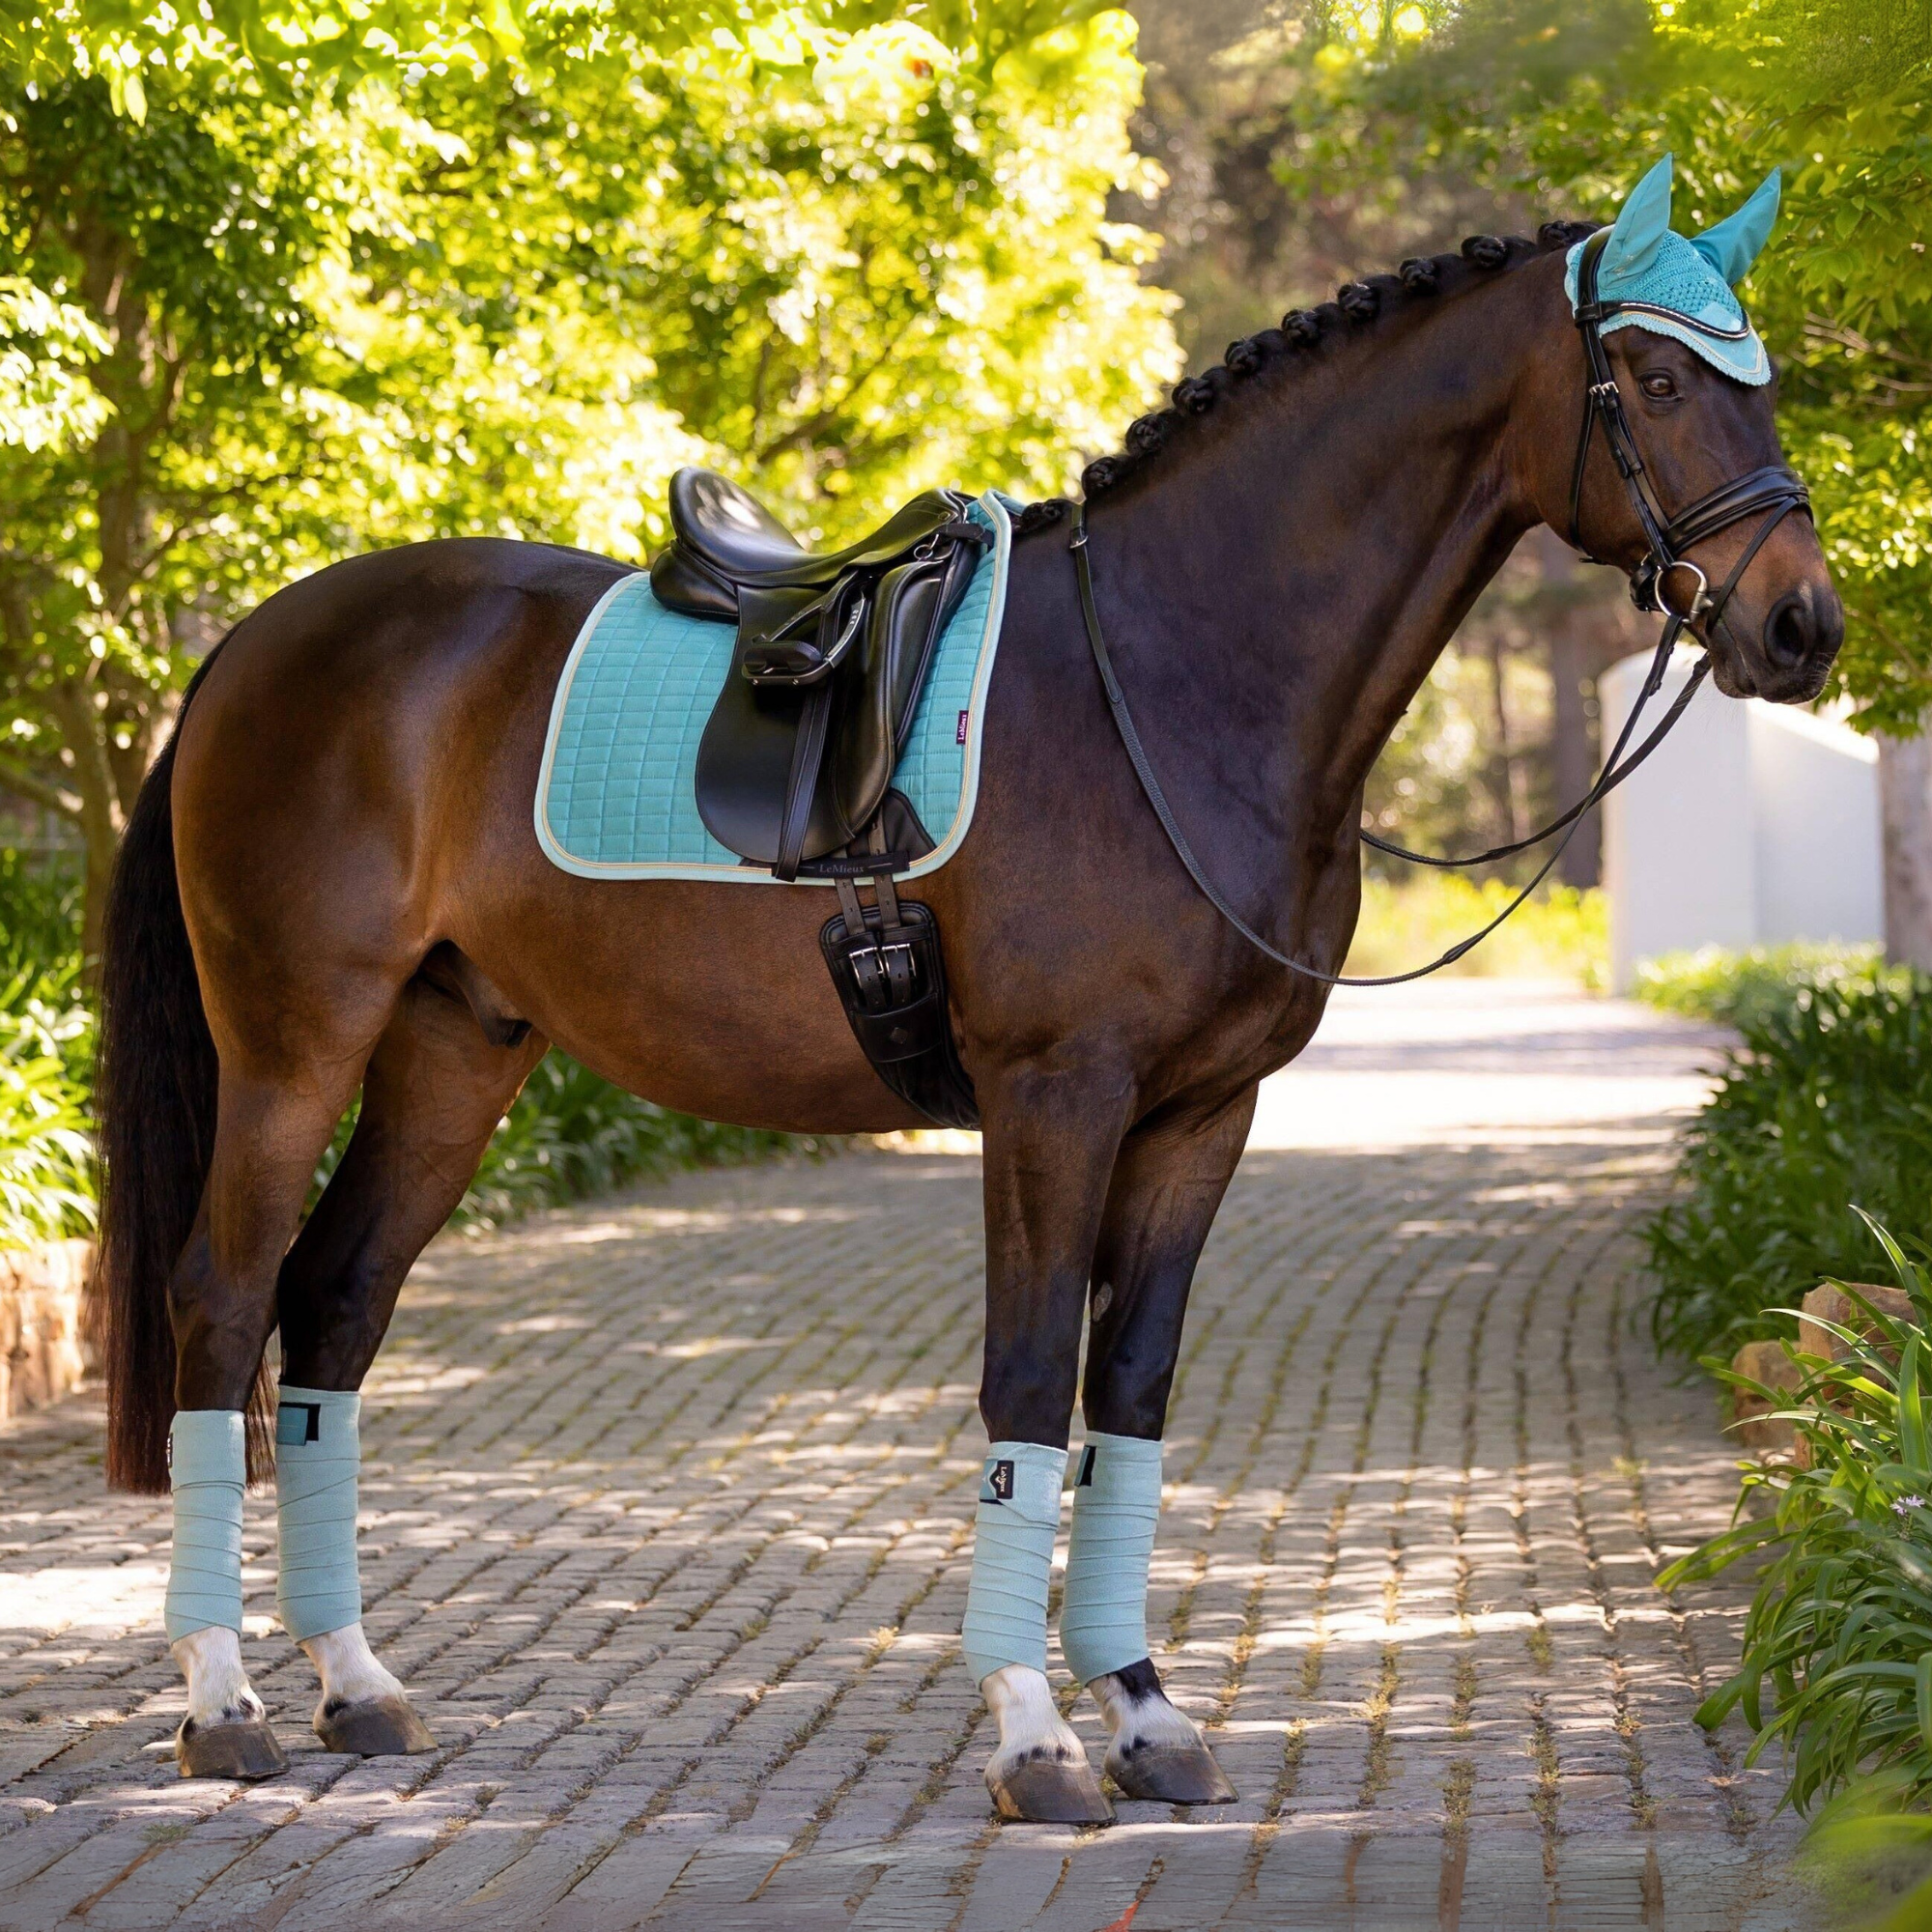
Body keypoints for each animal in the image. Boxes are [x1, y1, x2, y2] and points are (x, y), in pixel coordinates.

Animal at [94, 180, 1841, 1819]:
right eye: (1653, 378)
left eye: (1755, 379)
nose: (1799, 624)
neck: (1176, 678)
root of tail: (252, 644)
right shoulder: (1052, 1096)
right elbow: (1024, 1384)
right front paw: (1035, 1740)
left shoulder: (1203, 1115)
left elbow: (1124, 1394)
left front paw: (1145, 1717)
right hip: (295, 1047)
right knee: (222, 1304)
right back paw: (223, 1707)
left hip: (454, 1052)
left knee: (332, 1308)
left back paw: (355, 1684)